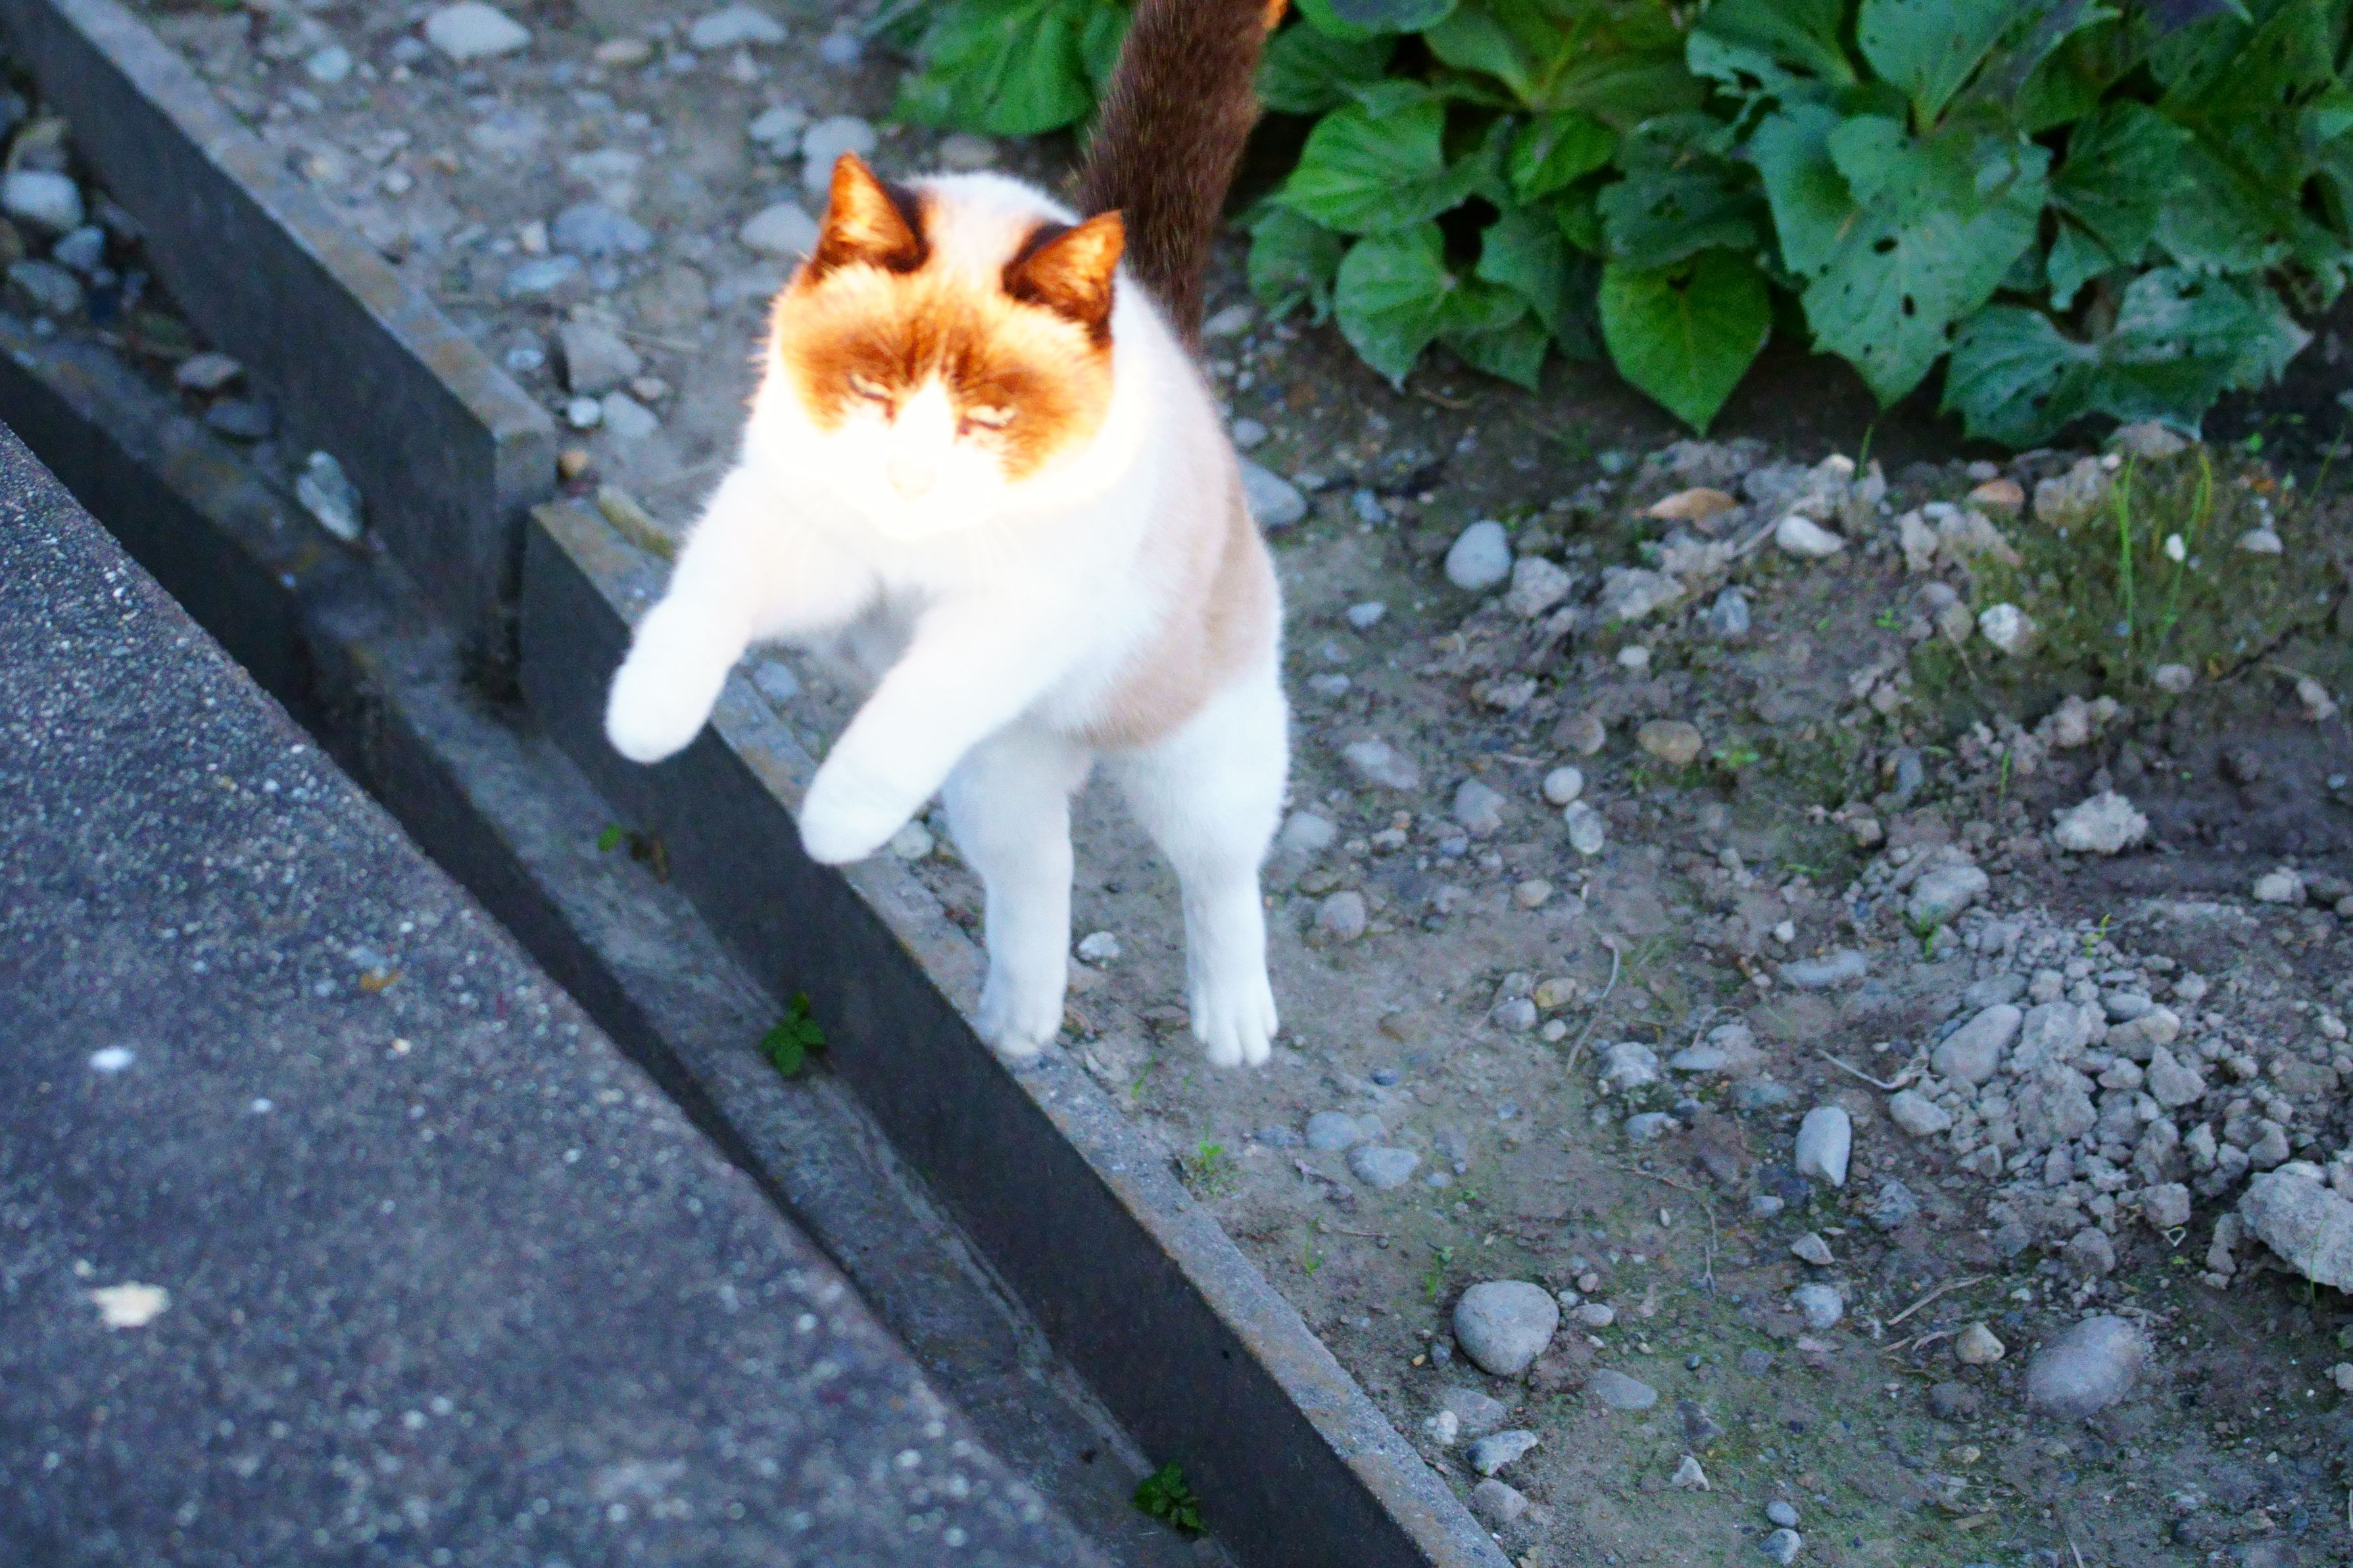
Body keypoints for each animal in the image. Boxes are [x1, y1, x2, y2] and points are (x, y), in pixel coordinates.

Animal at [601, 0, 1291, 1066]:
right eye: (874, 390)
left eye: (987, 418)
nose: (909, 477)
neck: (911, 539)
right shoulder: (800, 537)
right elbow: (703, 606)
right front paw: (646, 721)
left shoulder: (999, 623)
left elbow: (898, 725)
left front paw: (831, 828)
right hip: (995, 767)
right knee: (1037, 867)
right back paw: (1019, 1024)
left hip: (1190, 749)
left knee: (1218, 869)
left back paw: (1233, 1025)